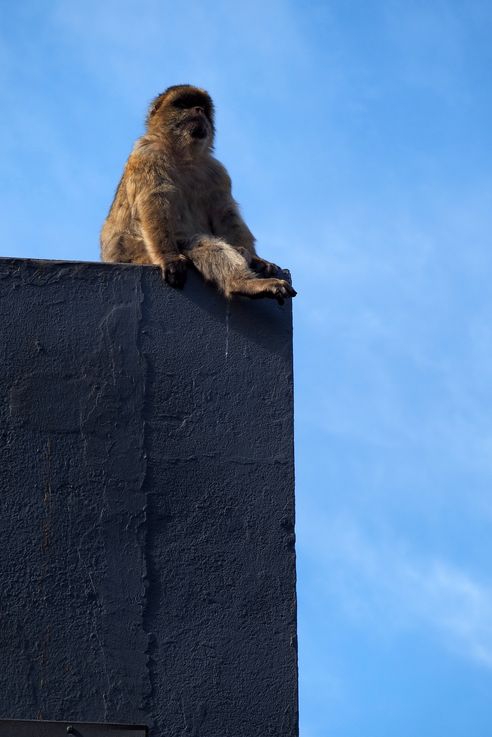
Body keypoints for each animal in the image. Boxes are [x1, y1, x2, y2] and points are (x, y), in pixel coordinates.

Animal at [100, 84, 296, 304]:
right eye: (183, 104)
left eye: (202, 106)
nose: (198, 110)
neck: (184, 154)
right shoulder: (148, 155)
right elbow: (154, 201)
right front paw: (168, 257)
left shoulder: (217, 171)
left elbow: (225, 213)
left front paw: (257, 259)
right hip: (135, 252)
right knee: (199, 243)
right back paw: (243, 284)